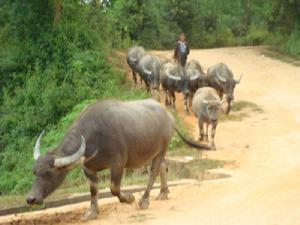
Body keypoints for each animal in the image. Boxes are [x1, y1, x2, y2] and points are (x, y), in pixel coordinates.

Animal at [25, 99, 210, 221]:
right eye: (34, 172)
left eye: (48, 173)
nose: (31, 199)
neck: (95, 137)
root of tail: (169, 117)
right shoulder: (88, 168)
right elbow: (93, 190)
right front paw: (92, 212)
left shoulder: (118, 164)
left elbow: (114, 188)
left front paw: (130, 198)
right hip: (153, 151)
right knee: (163, 167)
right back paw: (163, 193)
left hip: (163, 147)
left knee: (154, 172)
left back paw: (144, 200)